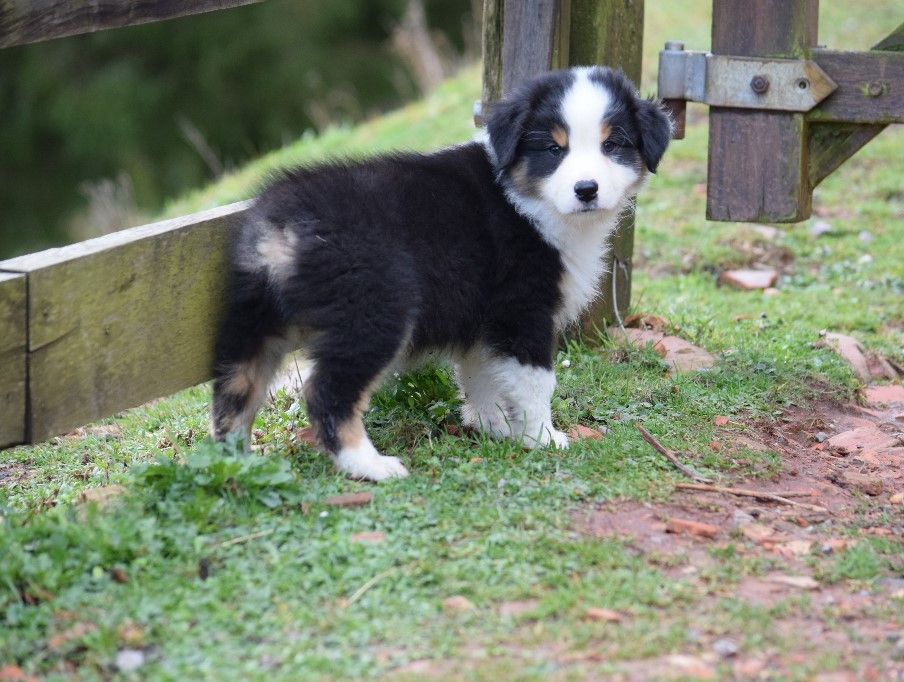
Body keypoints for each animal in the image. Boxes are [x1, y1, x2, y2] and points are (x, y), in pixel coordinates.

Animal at [210, 66, 670, 481]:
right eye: (554, 150)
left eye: (613, 144)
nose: (586, 189)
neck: (528, 202)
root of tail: (279, 224)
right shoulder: (522, 310)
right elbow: (536, 383)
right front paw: (543, 438)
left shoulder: (483, 322)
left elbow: (481, 377)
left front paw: (493, 428)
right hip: (375, 309)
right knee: (326, 390)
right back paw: (370, 465)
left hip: (256, 318)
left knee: (235, 389)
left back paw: (237, 464)